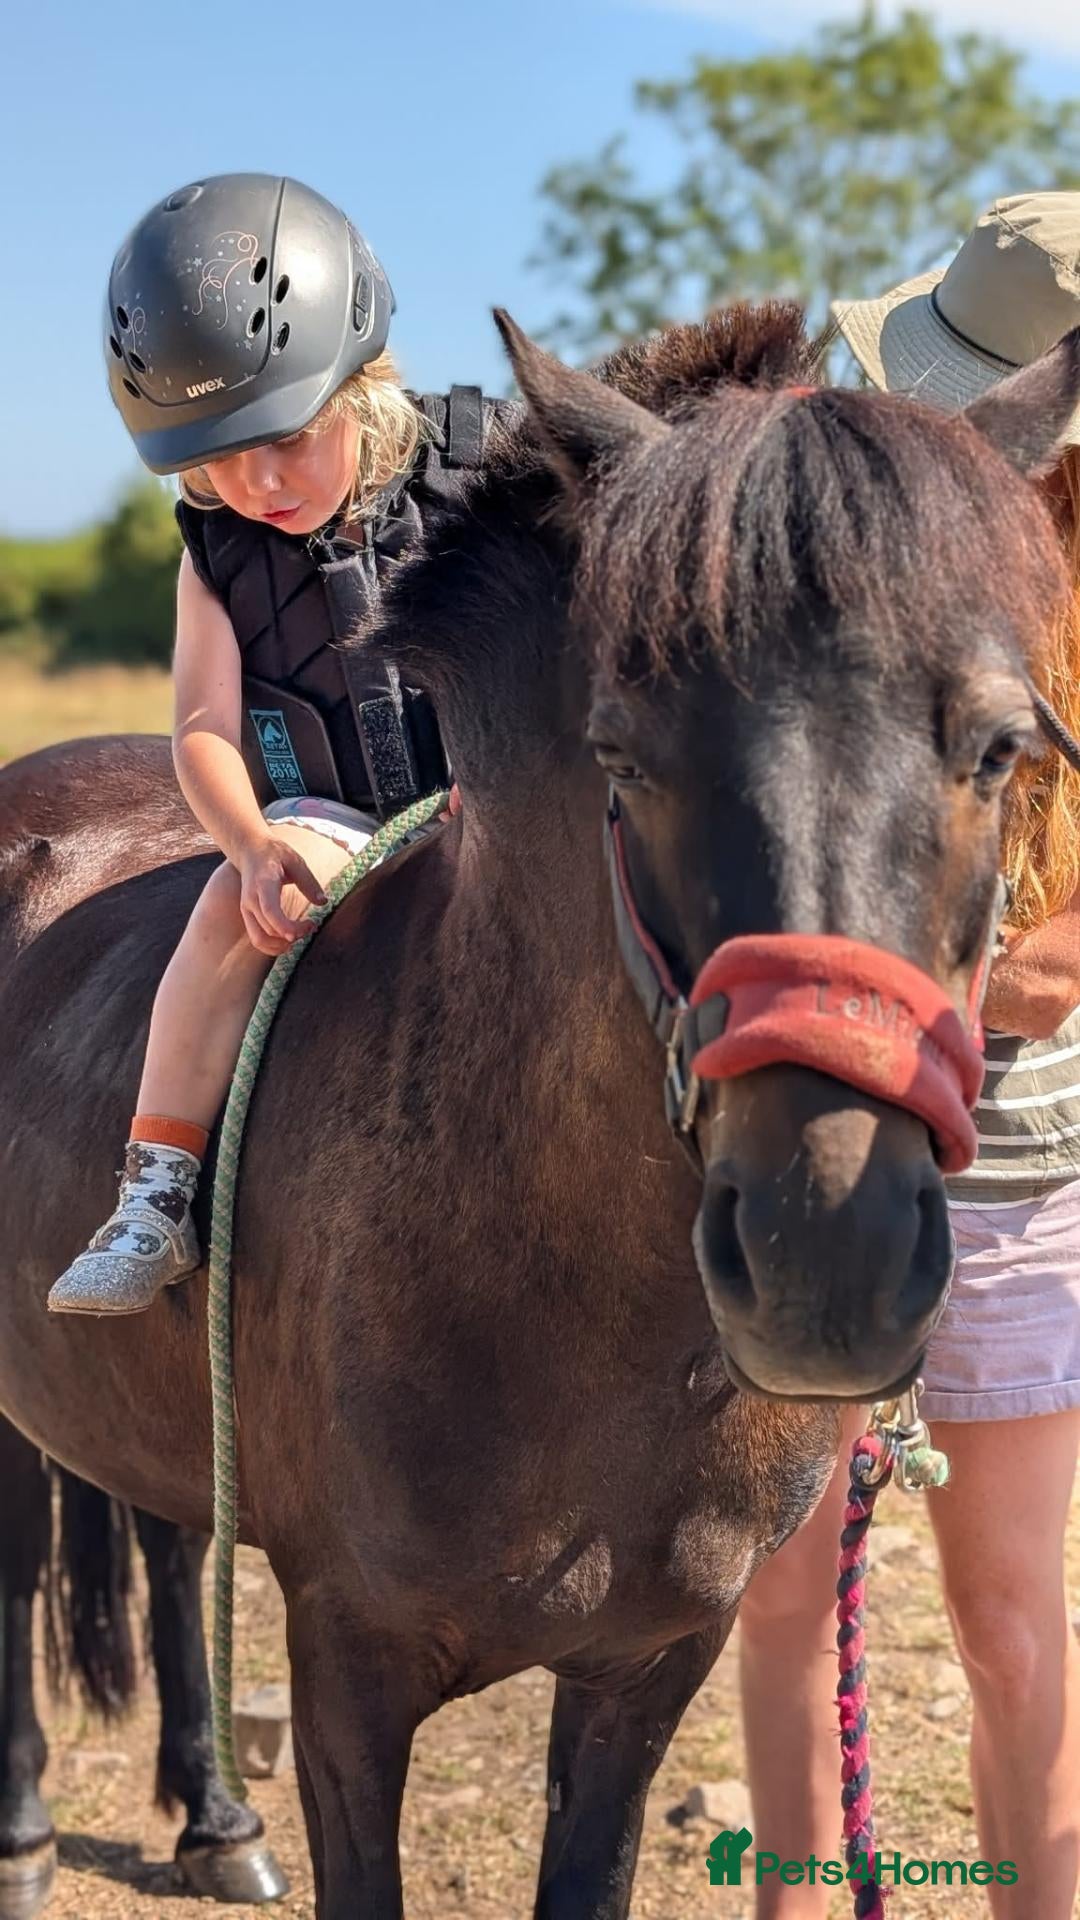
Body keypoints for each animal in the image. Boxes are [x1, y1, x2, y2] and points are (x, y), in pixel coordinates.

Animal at [0, 301, 1075, 1920]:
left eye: (1003, 748)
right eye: (620, 753)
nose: (827, 1261)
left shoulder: (650, 1664)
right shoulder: (349, 1674)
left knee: (174, 1544)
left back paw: (214, 1815)